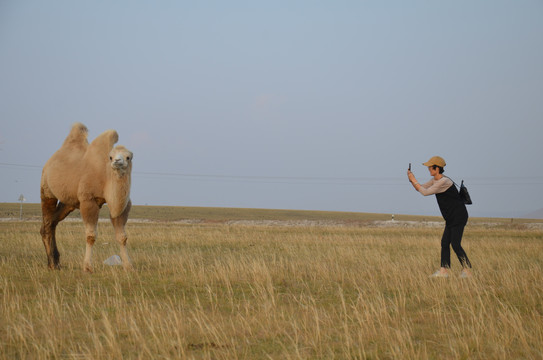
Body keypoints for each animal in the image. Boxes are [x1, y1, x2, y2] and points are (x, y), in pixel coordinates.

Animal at [40, 122, 134, 272]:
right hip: (46, 190)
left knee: (53, 223)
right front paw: (88, 267)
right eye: (110, 157)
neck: (105, 177)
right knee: (47, 224)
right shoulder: (88, 201)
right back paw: (52, 265)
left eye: (128, 157)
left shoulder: (123, 206)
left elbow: (122, 237)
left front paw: (129, 266)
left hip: (69, 203)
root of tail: (49, 163)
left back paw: (56, 262)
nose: (117, 162)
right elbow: (91, 236)